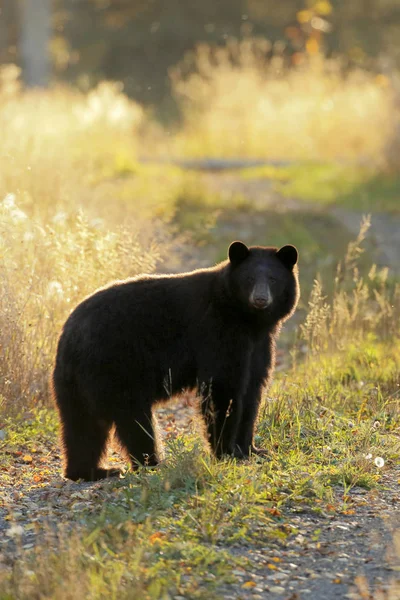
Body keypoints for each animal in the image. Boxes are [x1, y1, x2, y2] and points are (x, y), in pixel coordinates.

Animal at [51, 241, 298, 480]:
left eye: (273, 279)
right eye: (249, 279)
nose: (260, 299)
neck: (248, 320)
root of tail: (69, 336)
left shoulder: (258, 345)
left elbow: (251, 390)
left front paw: (252, 450)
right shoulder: (218, 332)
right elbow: (222, 387)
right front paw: (226, 452)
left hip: (76, 383)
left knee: (82, 425)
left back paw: (90, 471)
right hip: (118, 366)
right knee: (134, 420)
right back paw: (150, 463)